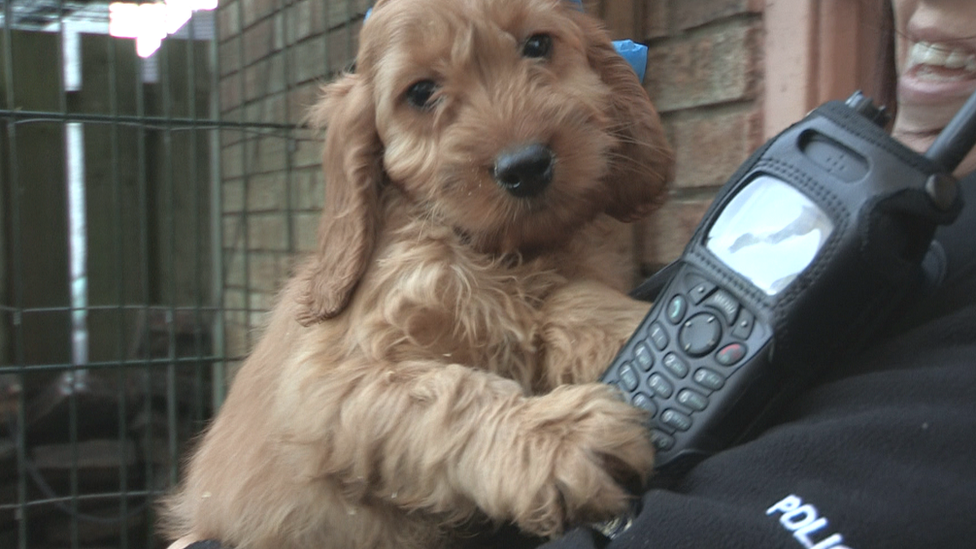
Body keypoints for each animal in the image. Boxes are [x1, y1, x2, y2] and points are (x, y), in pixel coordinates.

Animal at [164, 0, 676, 544]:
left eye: (538, 44)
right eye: (421, 92)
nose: (525, 167)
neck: (496, 253)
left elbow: (570, 304)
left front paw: (637, 326)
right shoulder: (329, 384)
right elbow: (448, 396)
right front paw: (556, 436)